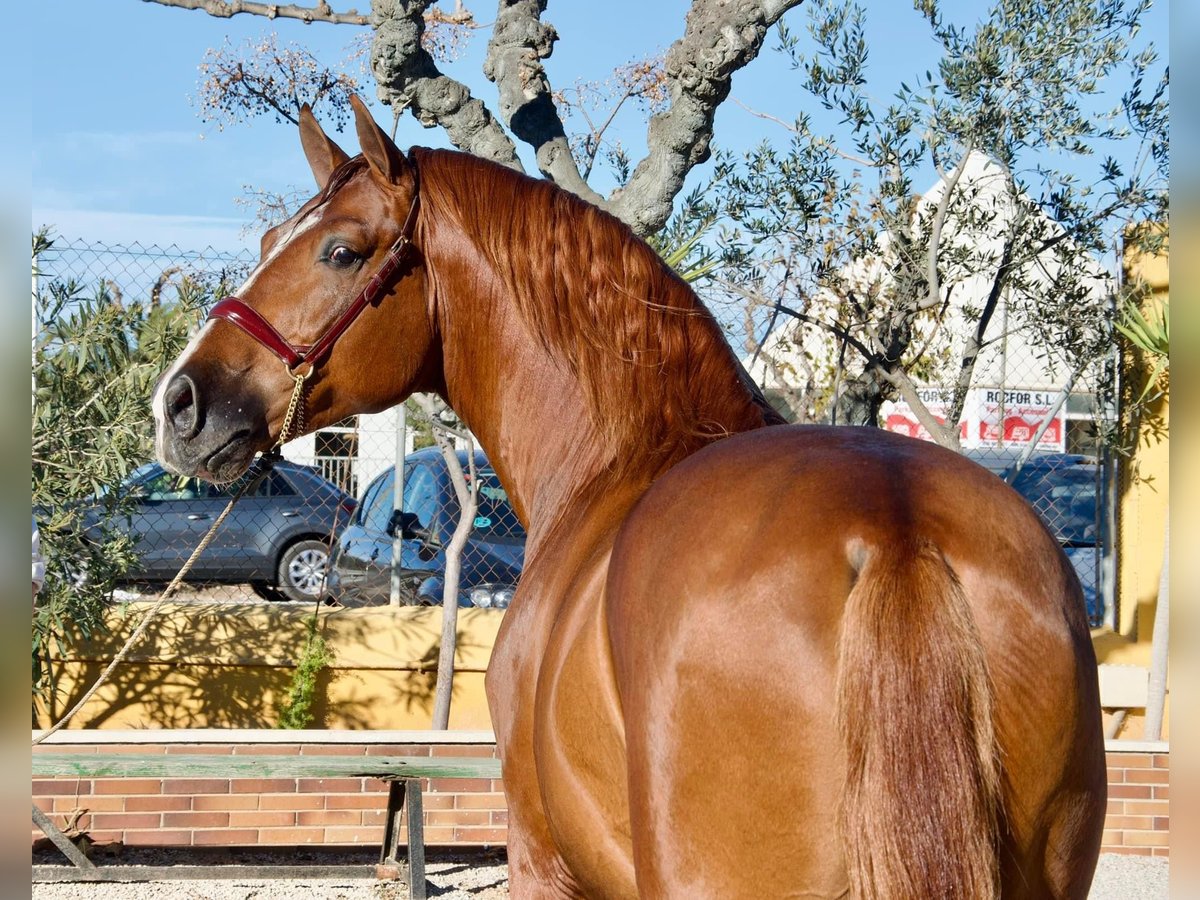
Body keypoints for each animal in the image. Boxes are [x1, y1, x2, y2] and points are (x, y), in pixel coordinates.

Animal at [154, 95, 1099, 897]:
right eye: (273, 236)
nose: (182, 401)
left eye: (342, 251)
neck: (615, 460)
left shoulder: (544, 861)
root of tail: (894, 527)